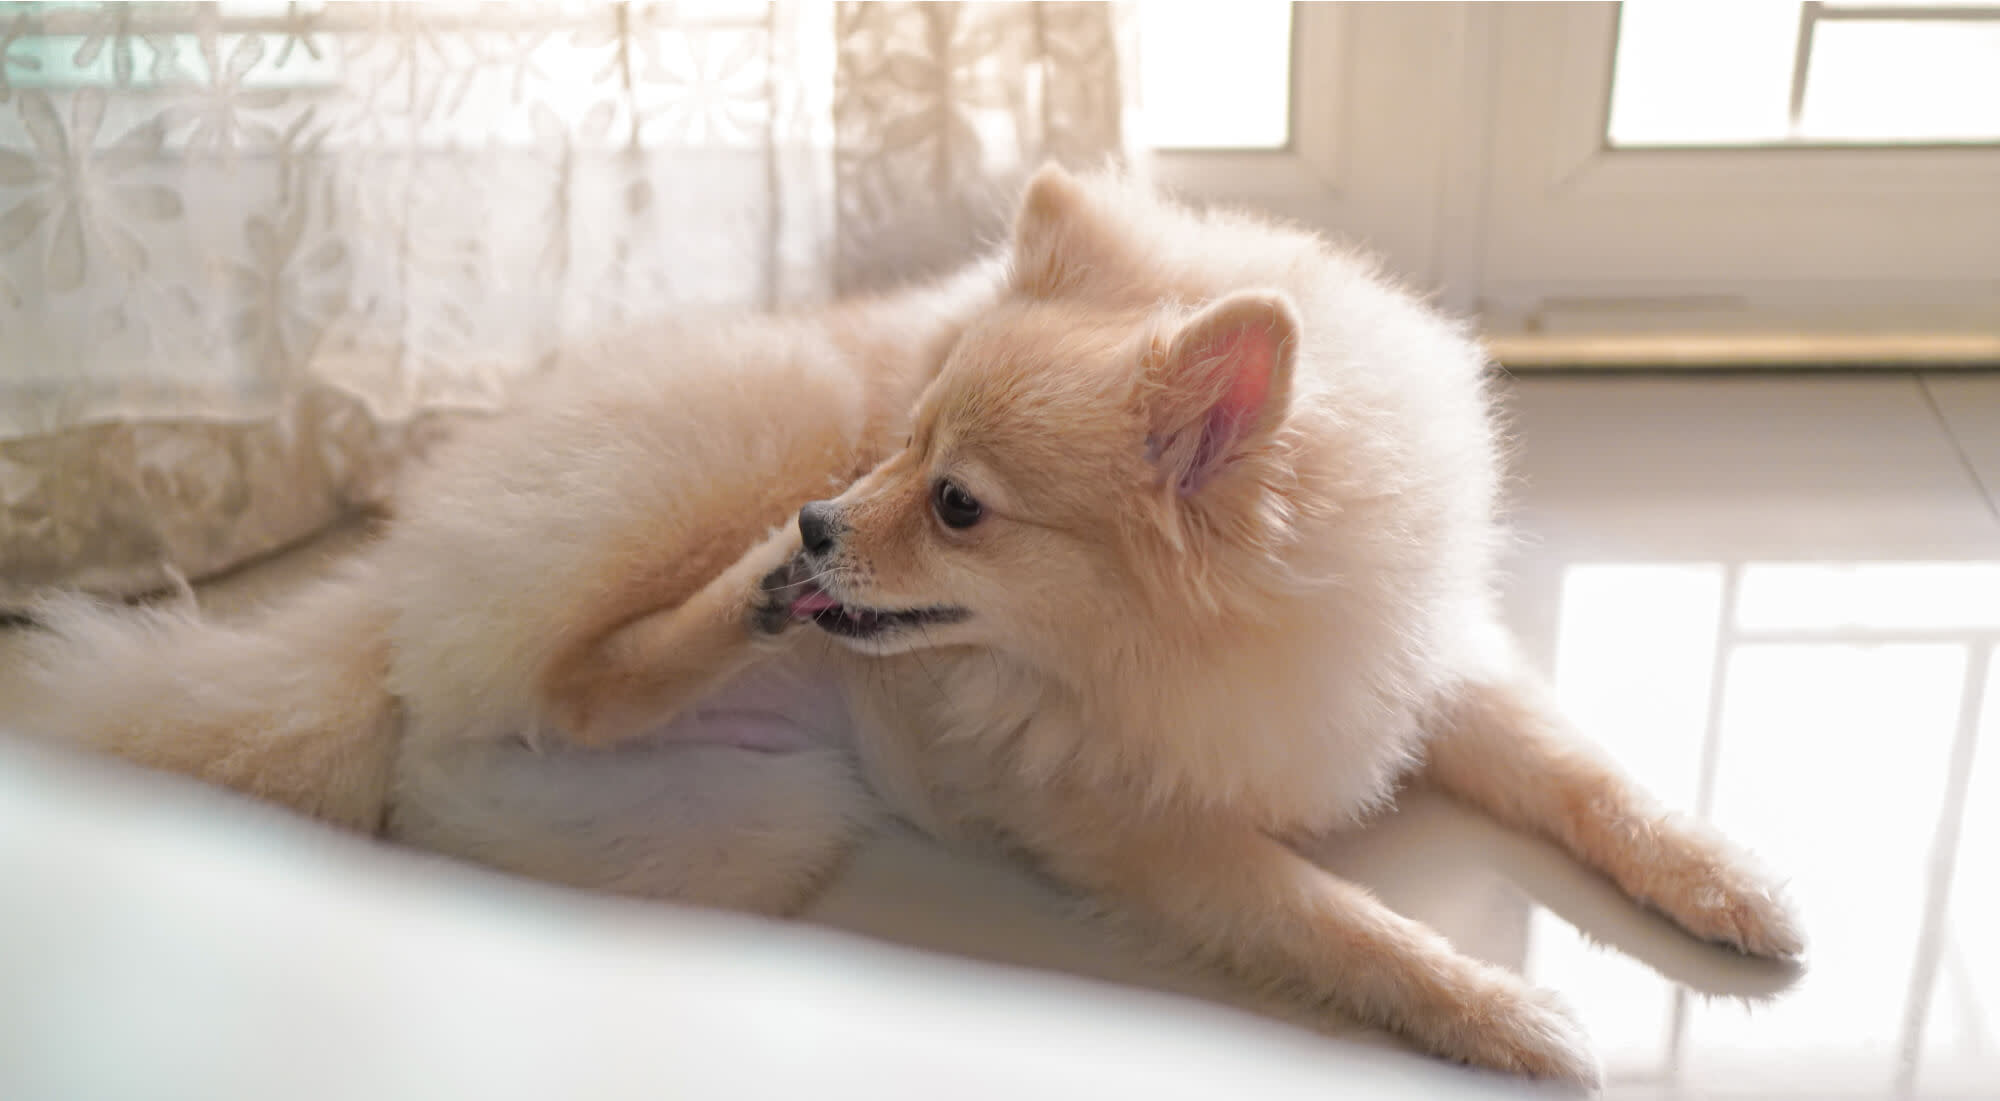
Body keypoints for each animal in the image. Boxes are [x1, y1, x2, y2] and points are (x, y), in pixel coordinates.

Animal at [3, 168, 1816, 1088]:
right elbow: (1338, 921)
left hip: (739, 830)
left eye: (957, 504)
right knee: (573, 676)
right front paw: (1511, 1015)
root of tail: (382, 610)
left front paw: (1729, 883)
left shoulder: (1419, 670)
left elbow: (1587, 777)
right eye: (903, 447)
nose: (826, 524)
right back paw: (741, 601)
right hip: (736, 448)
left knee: (536, 738)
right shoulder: (1131, 828)